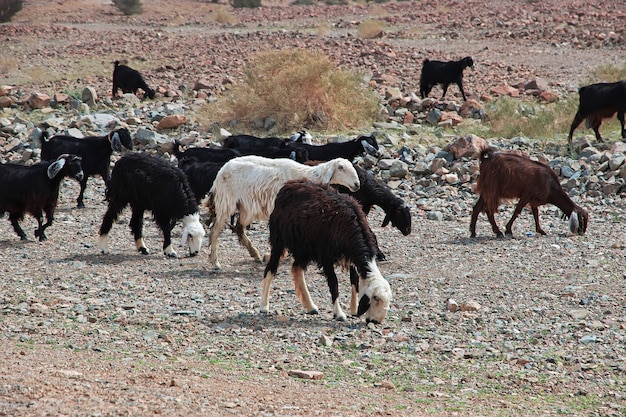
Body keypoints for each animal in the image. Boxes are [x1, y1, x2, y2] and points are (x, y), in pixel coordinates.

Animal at [206, 154, 358, 268]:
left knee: (239, 228)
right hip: (226, 201)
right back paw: (215, 262)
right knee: (215, 230)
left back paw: (255, 254)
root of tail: (220, 172)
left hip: (245, 206)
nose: (357, 184)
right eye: (341, 168)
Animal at [260, 180, 390, 324]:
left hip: (304, 248)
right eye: (376, 298)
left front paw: (354, 309)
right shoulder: (326, 256)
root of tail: (288, 185)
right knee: (270, 269)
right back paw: (264, 306)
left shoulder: (350, 257)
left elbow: (354, 280)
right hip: (279, 239)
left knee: (297, 269)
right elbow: (334, 283)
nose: (375, 321)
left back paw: (310, 306)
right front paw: (339, 313)